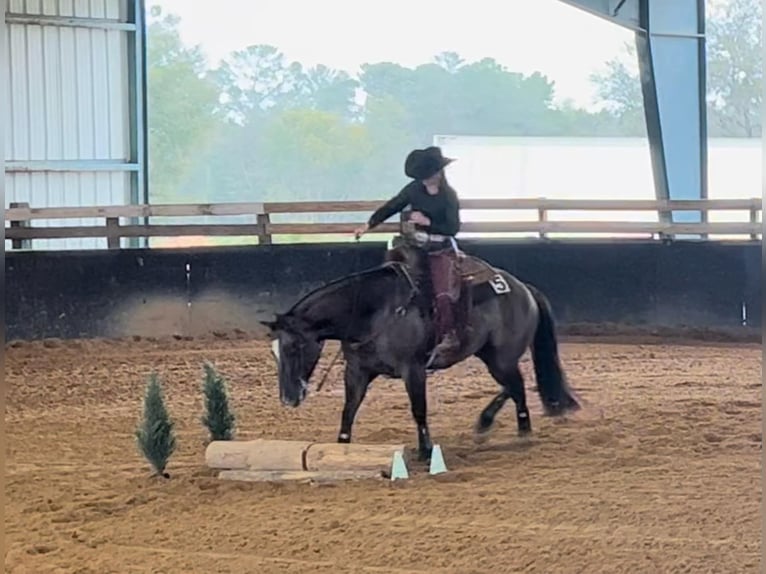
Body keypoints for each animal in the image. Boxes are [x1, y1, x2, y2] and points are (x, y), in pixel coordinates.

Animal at [264, 234, 584, 464]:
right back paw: (486, 424)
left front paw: (427, 451)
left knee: (516, 385)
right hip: (489, 354)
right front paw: (342, 448)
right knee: (514, 385)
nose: (288, 398)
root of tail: (524, 289)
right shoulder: (357, 371)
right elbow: (348, 410)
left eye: (295, 347)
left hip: (501, 357)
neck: (374, 310)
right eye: (274, 352)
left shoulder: (413, 369)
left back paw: (522, 431)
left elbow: (419, 409)